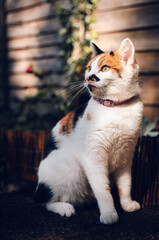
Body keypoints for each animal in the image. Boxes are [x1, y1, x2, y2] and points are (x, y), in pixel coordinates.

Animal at [34, 38, 143, 224]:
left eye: (104, 68)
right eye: (88, 68)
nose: (88, 77)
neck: (116, 107)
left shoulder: (126, 155)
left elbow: (125, 184)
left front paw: (127, 204)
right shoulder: (93, 156)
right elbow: (103, 189)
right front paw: (109, 214)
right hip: (67, 164)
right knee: (45, 201)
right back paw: (64, 208)